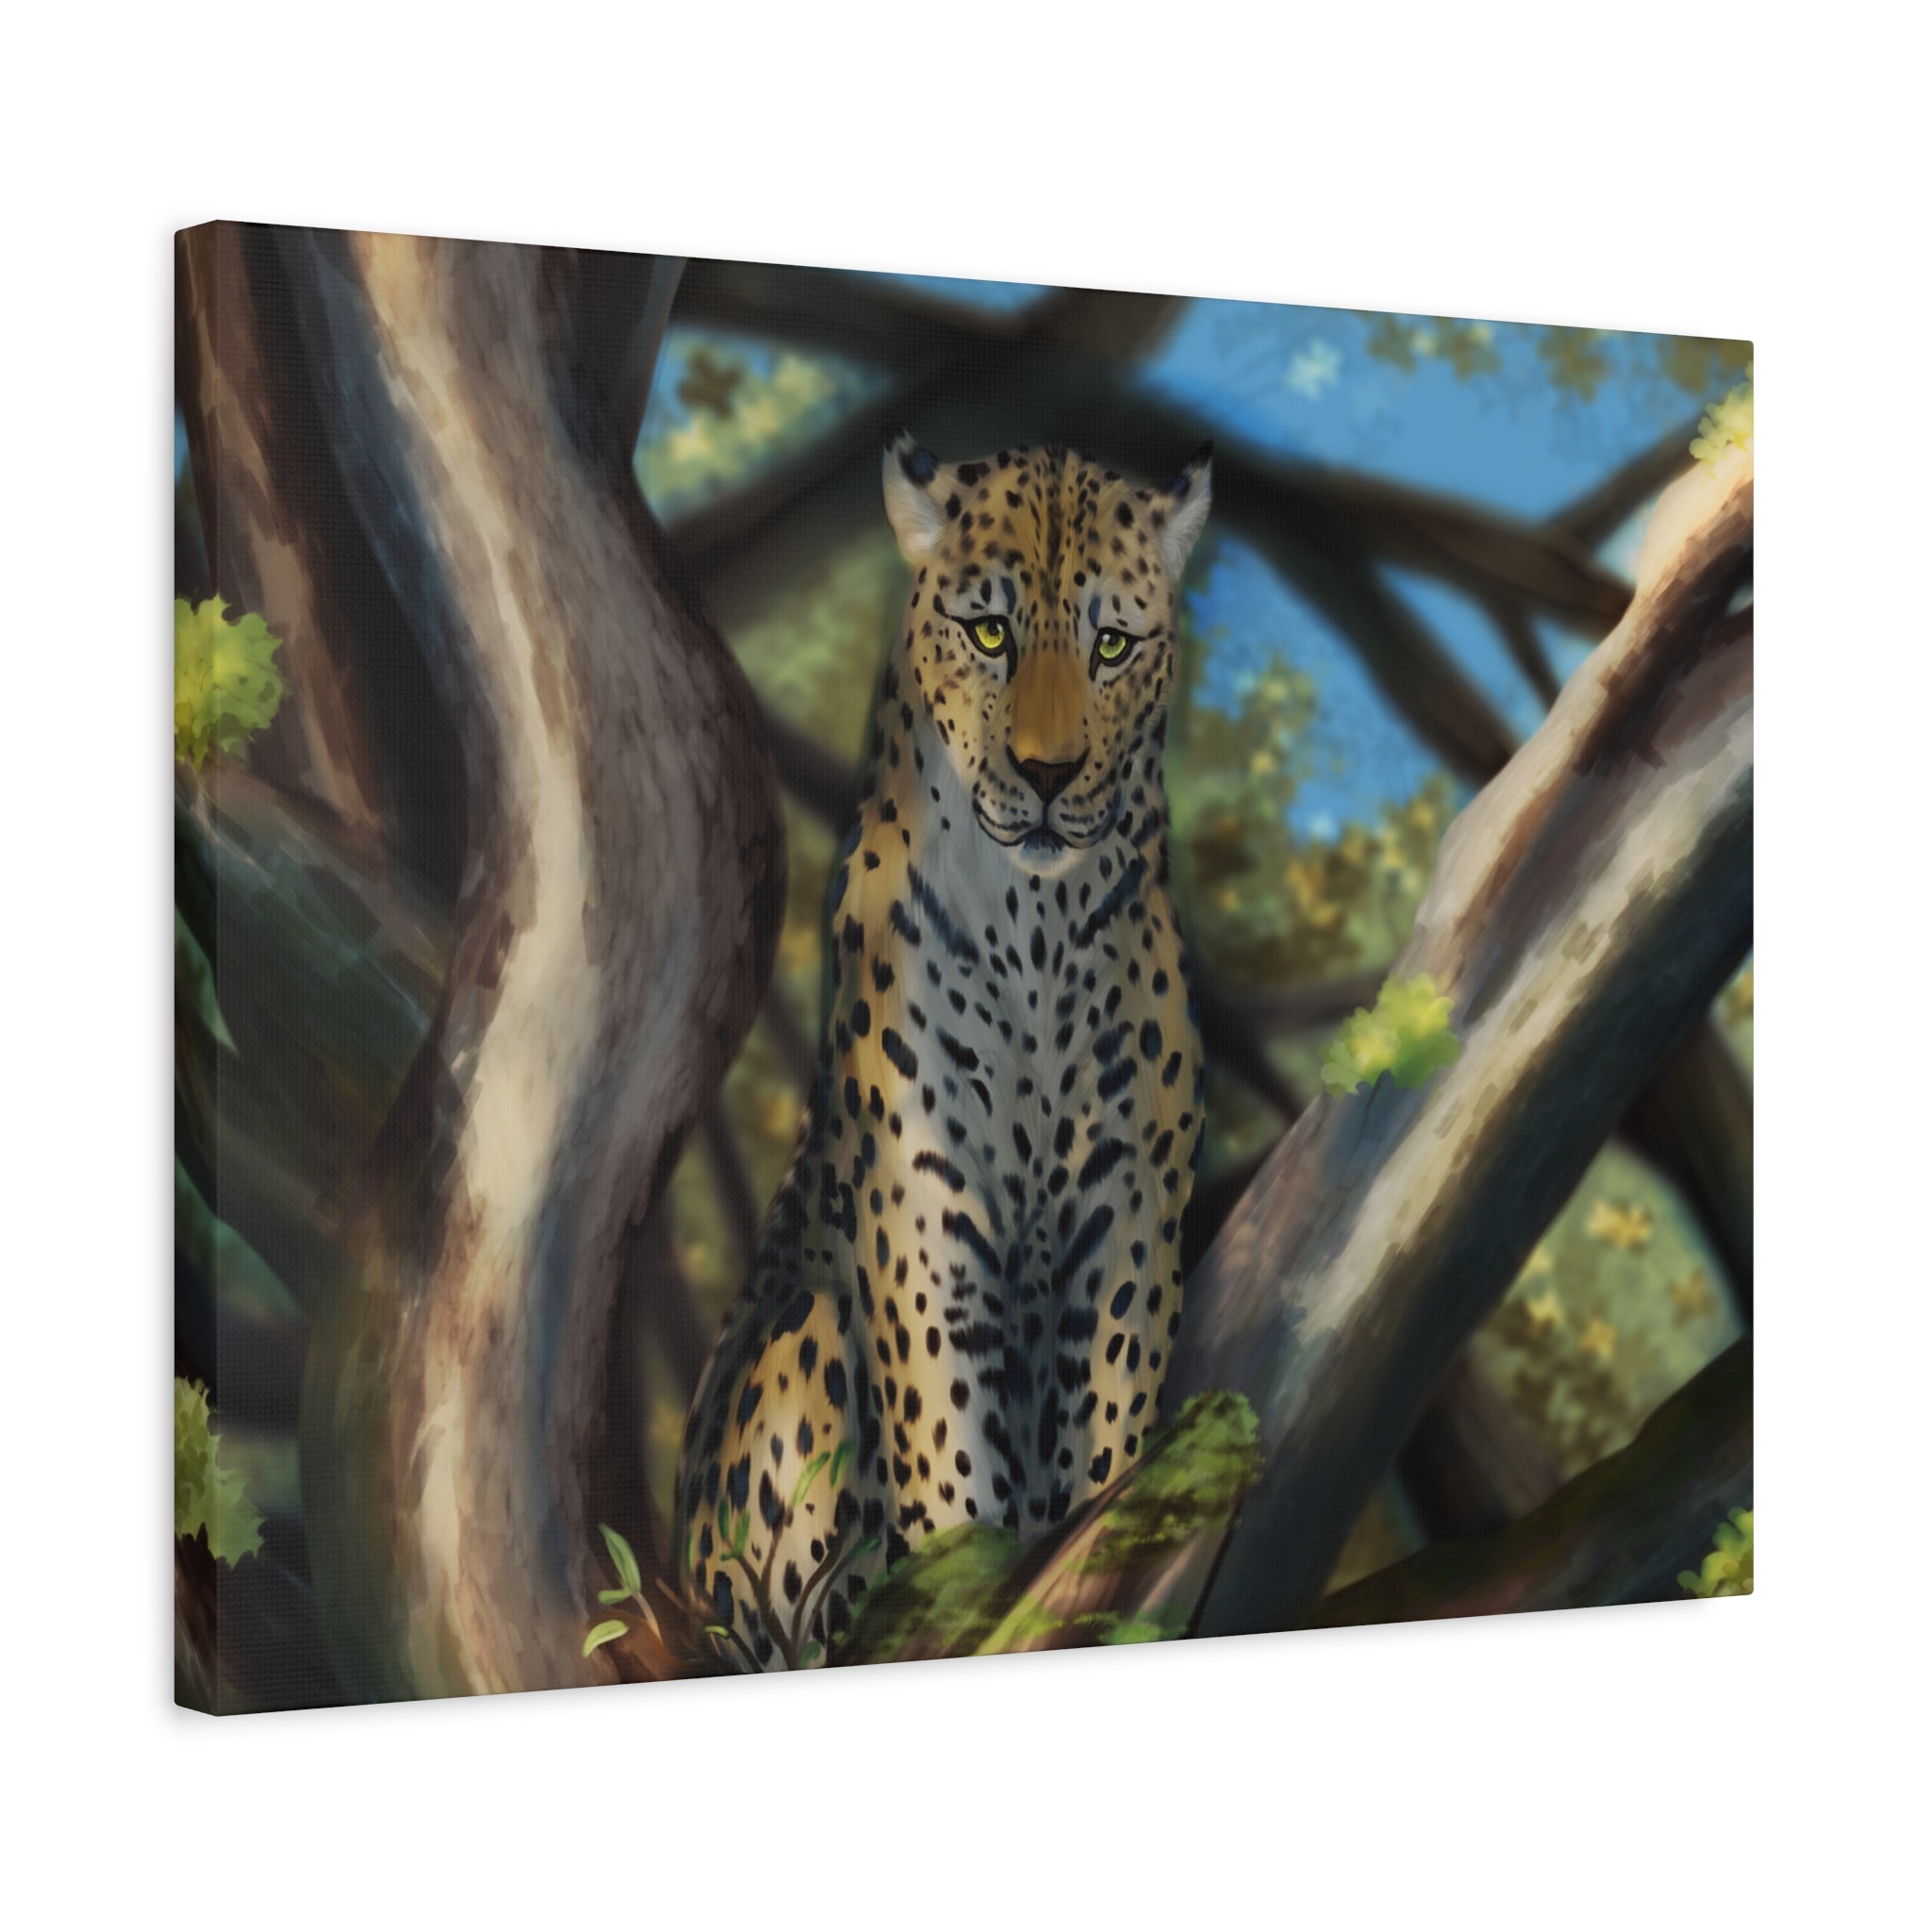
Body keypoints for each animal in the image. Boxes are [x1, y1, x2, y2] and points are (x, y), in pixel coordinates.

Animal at [672, 430, 1212, 1671]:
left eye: (1112, 644)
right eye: (989, 632)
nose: (1050, 773)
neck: (1035, 927)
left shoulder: (1127, 1201)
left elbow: (1107, 1424)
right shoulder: (922, 1199)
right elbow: (946, 1439)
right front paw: (965, 1582)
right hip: (801, 1344)